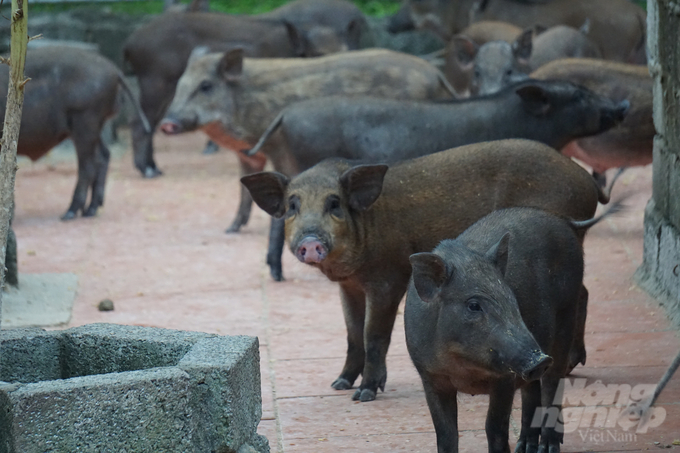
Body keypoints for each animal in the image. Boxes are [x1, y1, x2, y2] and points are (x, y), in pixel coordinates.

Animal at [0, 46, 151, 220]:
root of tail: (115, 70)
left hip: (85, 120)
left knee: (88, 165)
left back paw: (69, 213)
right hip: (92, 126)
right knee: (103, 156)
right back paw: (89, 211)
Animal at [242, 139, 608, 400]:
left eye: (334, 203)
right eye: (292, 205)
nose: (311, 241)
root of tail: (588, 183)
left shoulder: (388, 279)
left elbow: (374, 334)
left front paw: (364, 394)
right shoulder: (350, 287)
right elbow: (352, 334)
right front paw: (339, 384)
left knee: (581, 293)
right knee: (586, 291)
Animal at [404, 205, 620, 452]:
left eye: (511, 298)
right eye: (473, 305)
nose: (539, 360)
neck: (462, 366)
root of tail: (564, 221)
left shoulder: (504, 379)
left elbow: (494, 426)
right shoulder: (430, 377)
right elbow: (446, 434)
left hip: (567, 314)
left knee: (552, 384)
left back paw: (548, 446)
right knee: (532, 390)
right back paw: (525, 446)